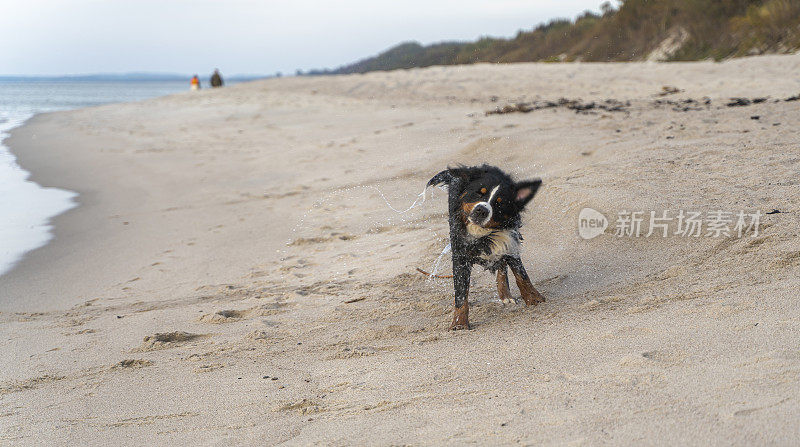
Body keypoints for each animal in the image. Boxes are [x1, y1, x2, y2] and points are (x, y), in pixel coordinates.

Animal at [428, 164, 548, 328]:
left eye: (499, 202)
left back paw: (505, 295)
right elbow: (461, 293)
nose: (482, 210)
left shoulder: (509, 241)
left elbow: (521, 275)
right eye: (479, 193)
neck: (481, 233)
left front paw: (534, 298)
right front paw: (460, 323)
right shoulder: (460, 256)